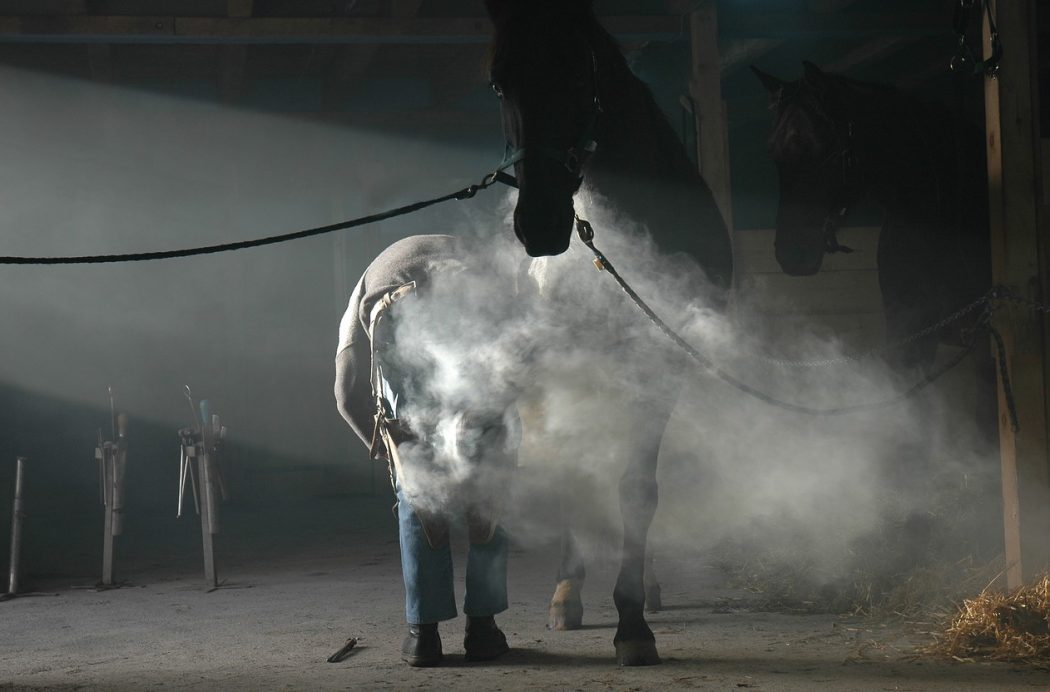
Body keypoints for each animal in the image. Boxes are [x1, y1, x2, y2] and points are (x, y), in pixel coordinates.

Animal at [336, 1, 730, 672]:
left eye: (577, 70)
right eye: (499, 82)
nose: (540, 223)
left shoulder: (660, 371)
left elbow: (639, 490)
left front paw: (634, 620)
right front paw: (594, 605)